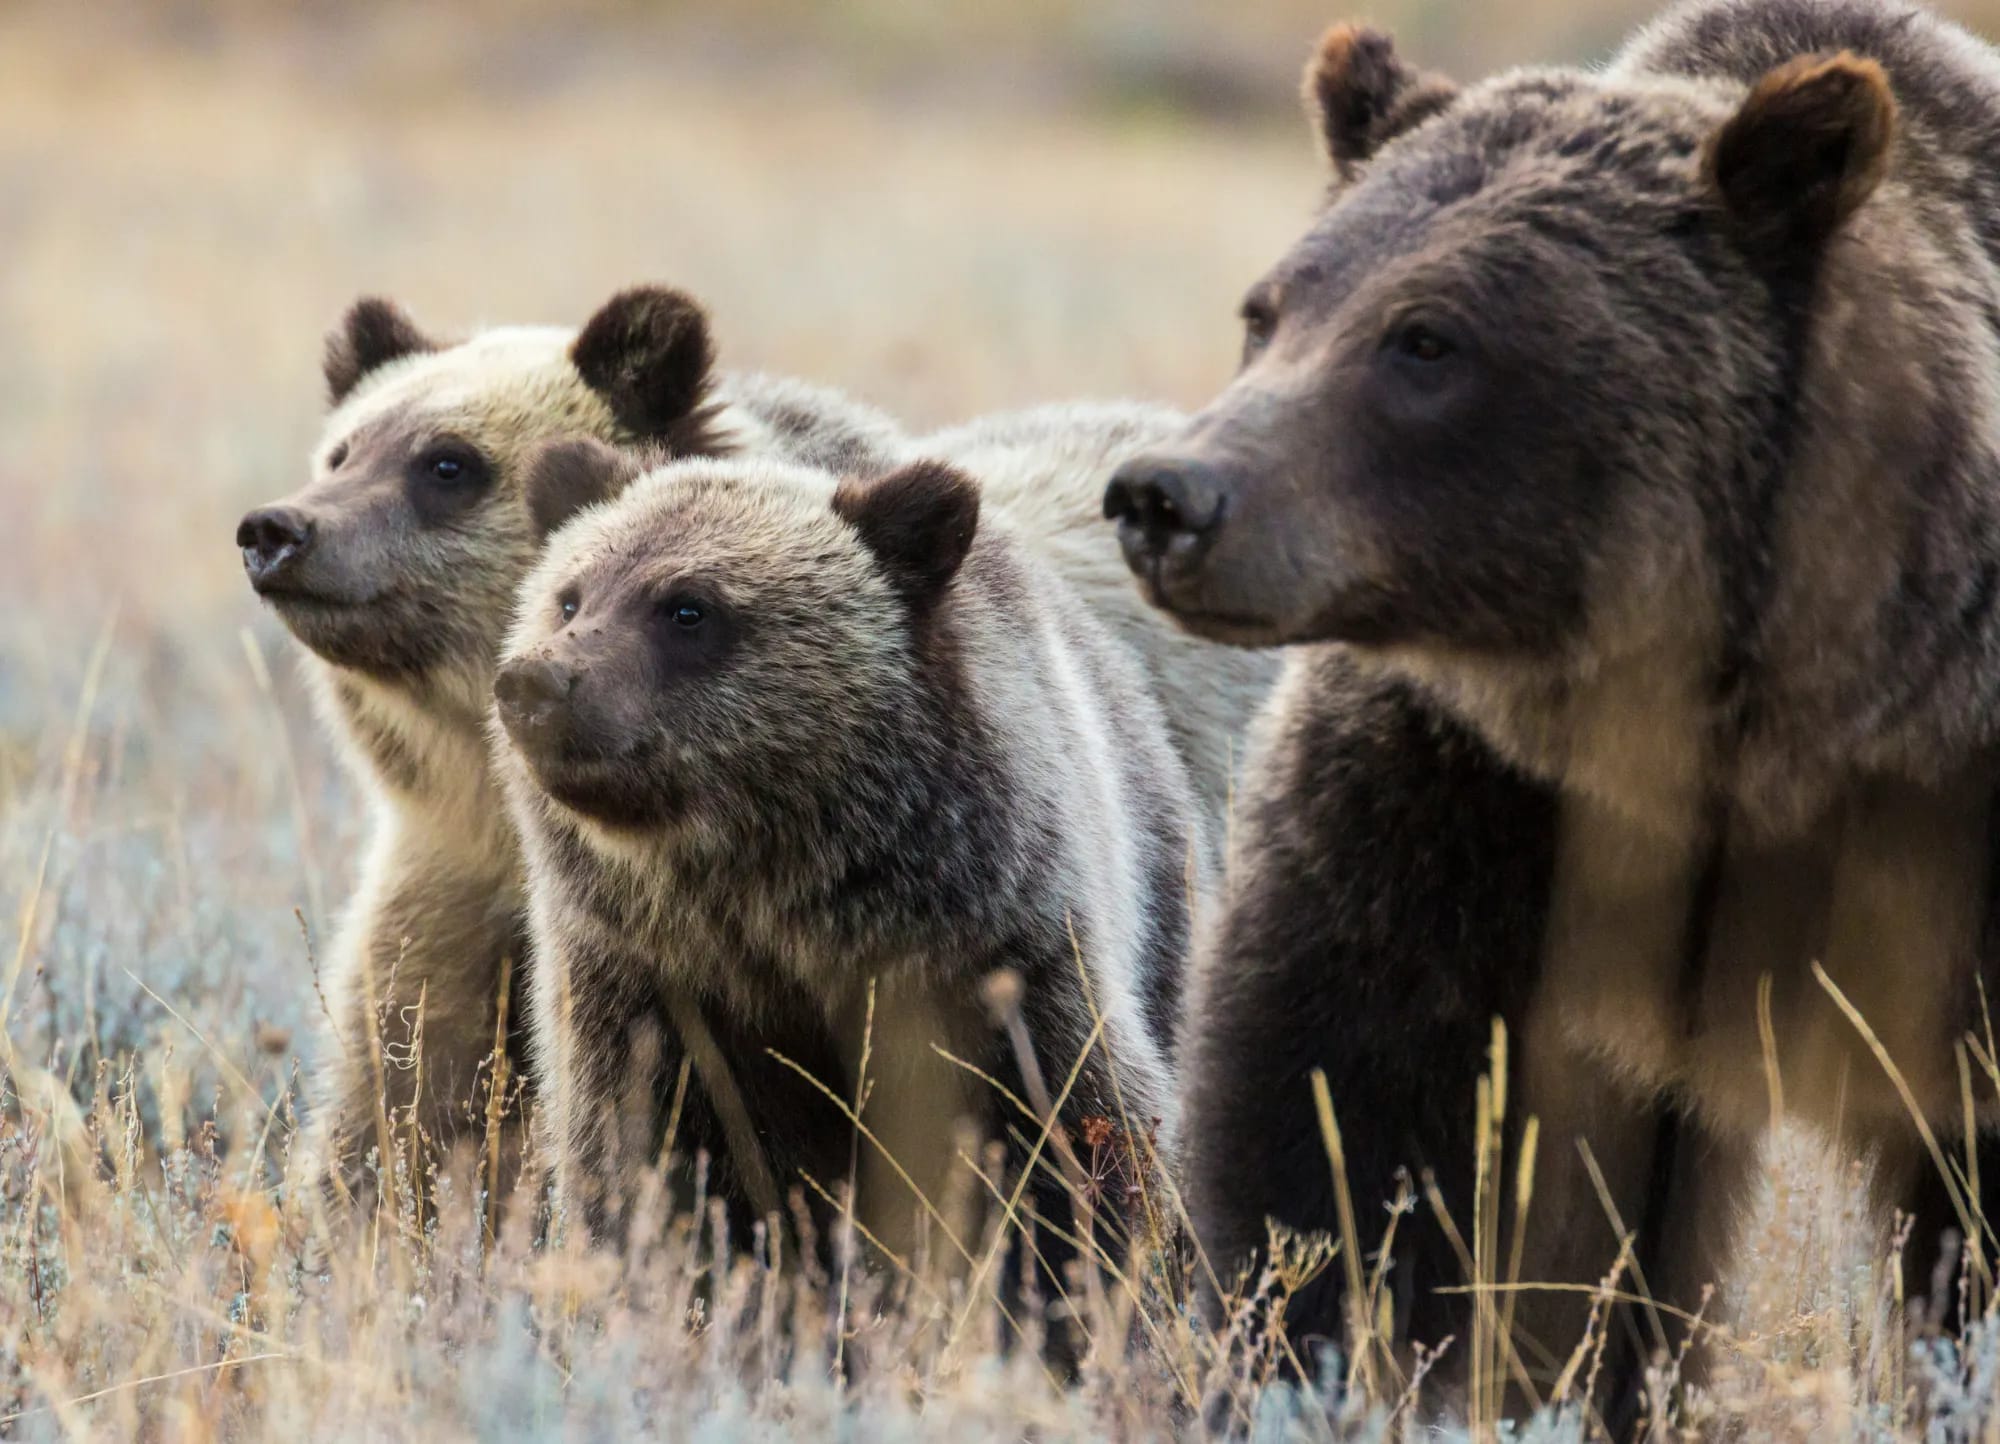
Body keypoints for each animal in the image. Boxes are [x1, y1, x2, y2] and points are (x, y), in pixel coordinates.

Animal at [491, 439, 1205, 1341]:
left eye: (688, 607)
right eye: (569, 595)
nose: (535, 683)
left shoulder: (993, 963)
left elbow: (1075, 1152)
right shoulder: (654, 993)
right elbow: (651, 1169)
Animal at [1102, 0, 2000, 1417]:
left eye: (1425, 338)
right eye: (1268, 310)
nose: (1167, 495)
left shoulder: (1944, 821)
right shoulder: (1461, 802)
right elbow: (1352, 1122)